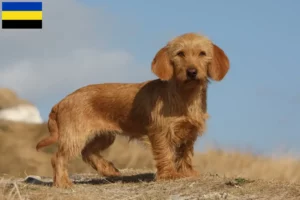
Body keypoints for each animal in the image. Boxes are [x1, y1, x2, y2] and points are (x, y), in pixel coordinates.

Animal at [37, 32, 230, 188]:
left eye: (202, 53)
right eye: (180, 54)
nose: (192, 72)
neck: (184, 95)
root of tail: (61, 101)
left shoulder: (190, 132)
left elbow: (185, 154)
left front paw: (187, 173)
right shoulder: (160, 132)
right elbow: (165, 153)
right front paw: (169, 175)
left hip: (104, 136)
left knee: (88, 152)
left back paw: (108, 170)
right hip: (75, 136)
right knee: (58, 158)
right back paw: (63, 183)